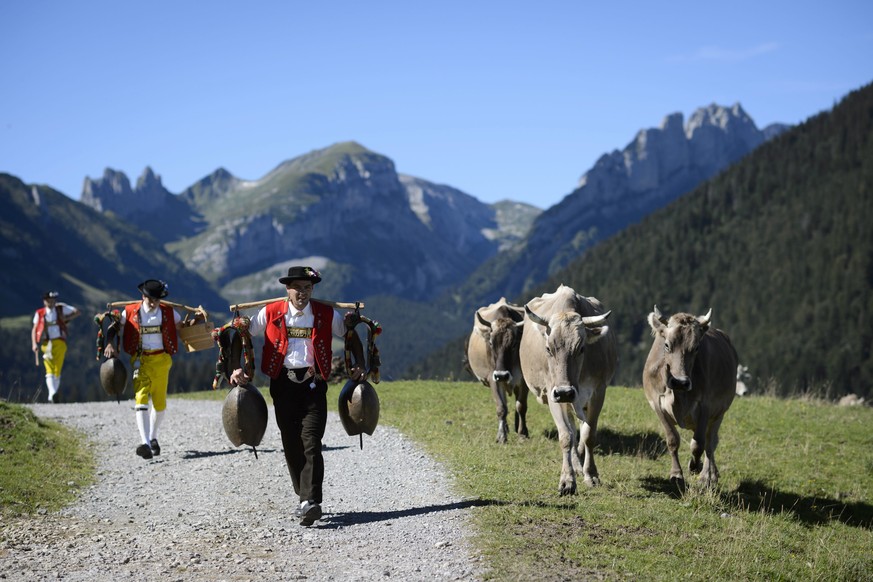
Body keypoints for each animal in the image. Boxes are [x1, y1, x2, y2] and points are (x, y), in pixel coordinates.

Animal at [466, 298, 528, 444]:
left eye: (514, 344)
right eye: (490, 343)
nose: (502, 375)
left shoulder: (523, 380)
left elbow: (521, 406)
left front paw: (522, 433)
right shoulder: (493, 378)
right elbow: (501, 408)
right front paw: (501, 436)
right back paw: (506, 428)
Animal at [520, 286, 616, 496]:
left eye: (581, 348)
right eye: (548, 348)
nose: (565, 392)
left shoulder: (598, 392)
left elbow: (589, 435)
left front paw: (591, 474)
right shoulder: (553, 393)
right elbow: (565, 436)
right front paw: (567, 481)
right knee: (571, 430)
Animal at [640, 308, 736, 490]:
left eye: (696, 347)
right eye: (666, 345)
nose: (680, 381)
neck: (678, 396)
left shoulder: (706, 406)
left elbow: (698, 444)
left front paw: (695, 466)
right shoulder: (657, 404)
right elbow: (672, 440)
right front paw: (676, 474)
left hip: (720, 413)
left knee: (710, 441)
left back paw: (708, 475)